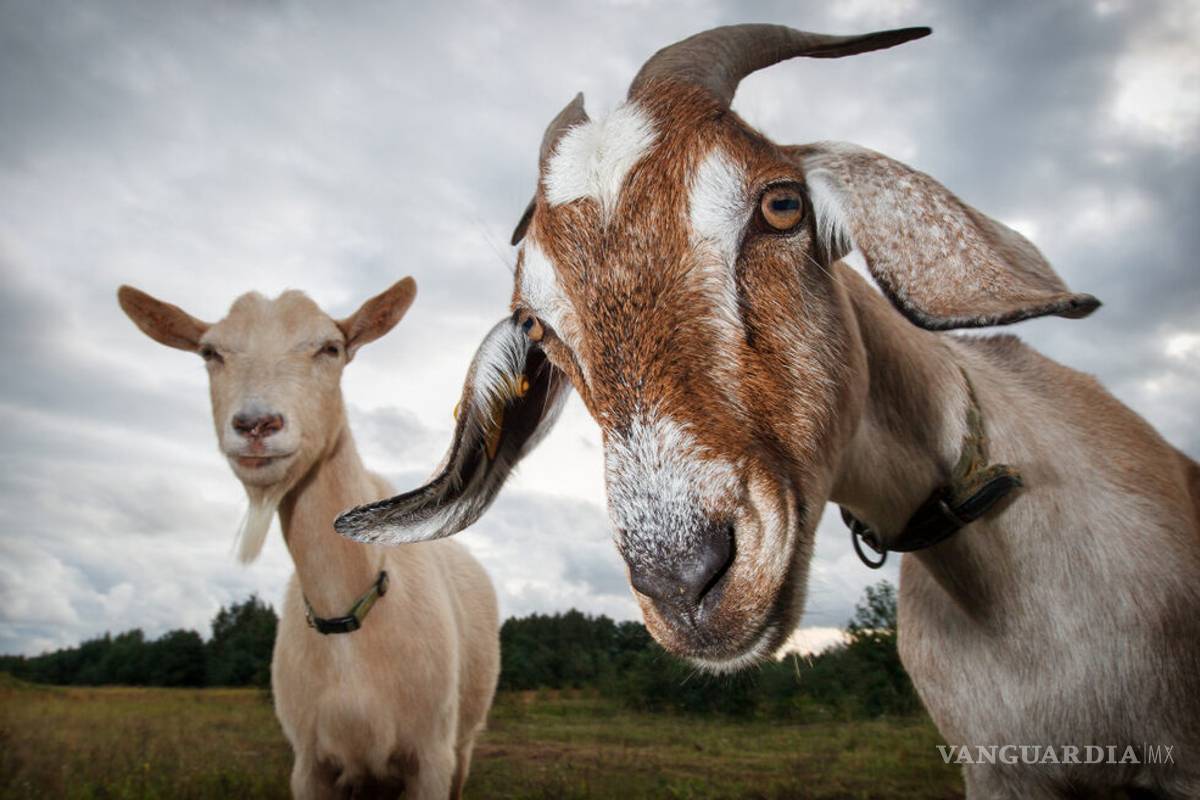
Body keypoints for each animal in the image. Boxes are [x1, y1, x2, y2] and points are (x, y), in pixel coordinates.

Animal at [118, 280, 499, 799]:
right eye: (210, 352)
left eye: (330, 348)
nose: (256, 424)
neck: (348, 614)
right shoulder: (309, 764)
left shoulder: (431, 758)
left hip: (465, 741)